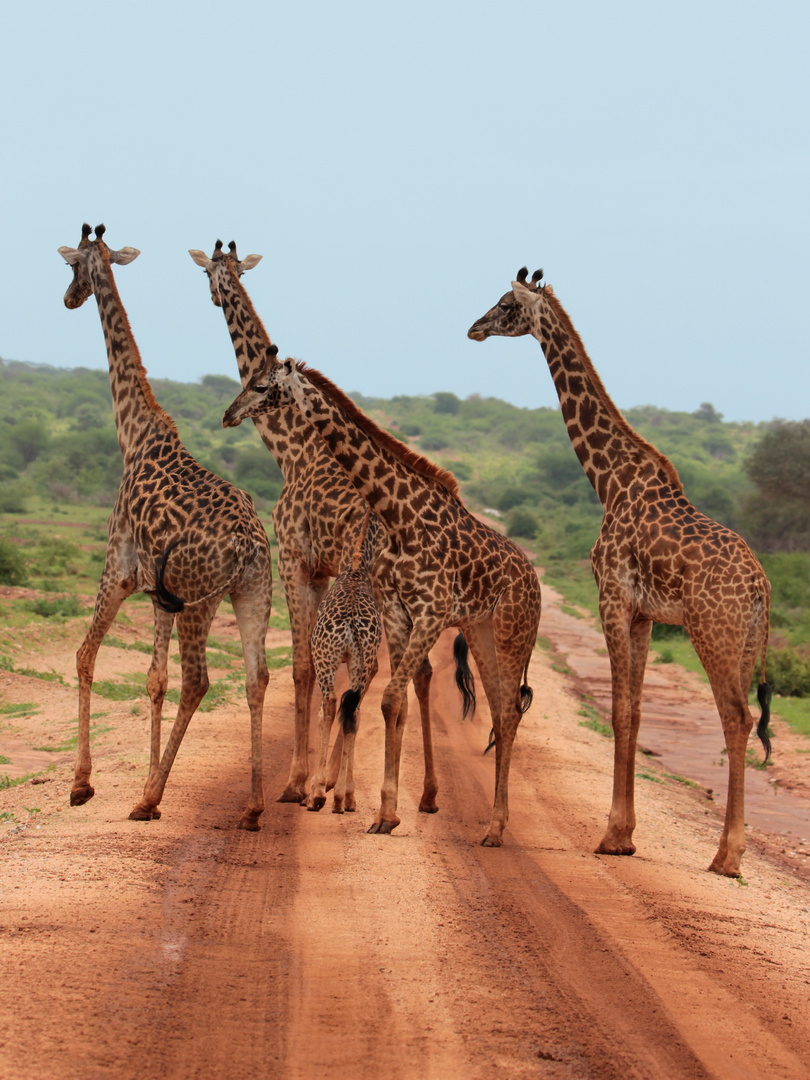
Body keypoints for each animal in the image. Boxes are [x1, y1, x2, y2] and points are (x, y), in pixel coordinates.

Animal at [57, 221, 274, 825]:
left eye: (72, 265)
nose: (69, 298)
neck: (132, 432)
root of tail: (249, 545)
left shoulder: (120, 567)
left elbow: (85, 655)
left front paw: (83, 785)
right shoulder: (160, 592)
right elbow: (154, 679)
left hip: (202, 599)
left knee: (199, 681)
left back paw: (150, 797)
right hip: (253, 594)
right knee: (256, 677)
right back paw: (251, 806)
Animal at [306, 503, 384, 812]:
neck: (354, 567)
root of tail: (351, 622)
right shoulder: (360, 663)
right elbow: (354, 715)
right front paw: (346, 794)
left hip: (326, 658)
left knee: (328, 705)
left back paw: (316, 794)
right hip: (359, 661)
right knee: (353, 711)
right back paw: (343, 796)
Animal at [466, 267, 768, 876]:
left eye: (507, 303)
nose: (474, 328)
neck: (609, 481)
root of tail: (760, 588)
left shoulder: (612, 598)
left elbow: (619, 712)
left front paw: (612, 835)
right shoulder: (645, 615)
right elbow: (635, 709)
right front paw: (625, 833)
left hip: (714, 634)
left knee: (737, 718)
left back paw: (727, 856)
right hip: (746, 643)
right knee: (741, 719)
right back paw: (729, 851)